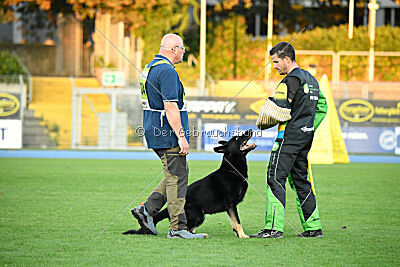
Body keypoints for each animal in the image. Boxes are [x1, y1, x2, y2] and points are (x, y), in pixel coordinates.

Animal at [122, 130, 256, 239]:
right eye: (237, 138)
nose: (250, 130)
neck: (232, 170)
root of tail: (169, 208)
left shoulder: (231, 206)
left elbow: (234, 223)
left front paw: (238, 234)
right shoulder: (231, 205)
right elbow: (237, 222)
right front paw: (242, 235)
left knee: (189, 229)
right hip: (199, 215)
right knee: (186, 229)